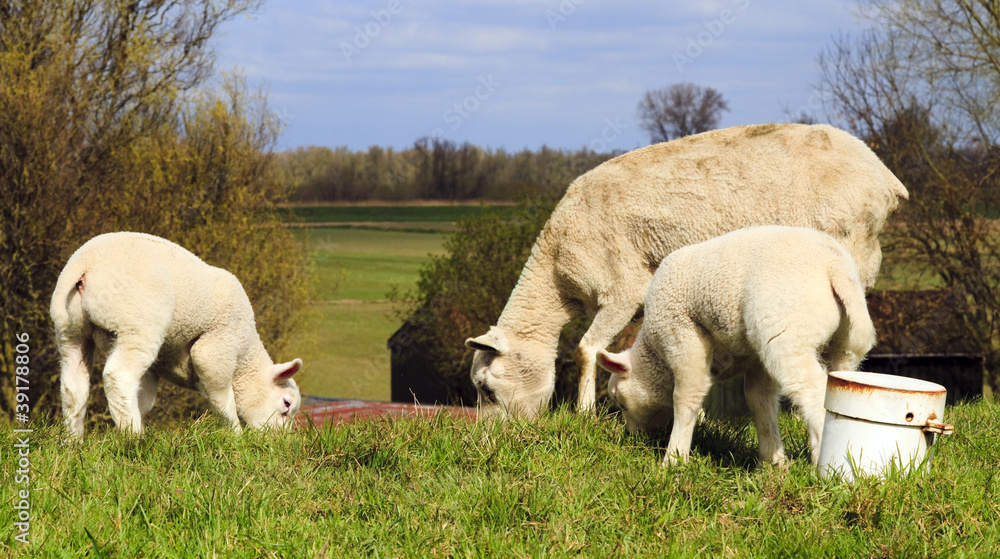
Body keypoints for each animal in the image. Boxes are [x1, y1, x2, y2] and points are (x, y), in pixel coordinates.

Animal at [50, 232, 302, 439]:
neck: (246, 354)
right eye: (286, 404)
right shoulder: (216, 350)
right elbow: (224, 401)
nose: (280, 442)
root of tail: (84, 263)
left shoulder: (154, 369)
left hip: (72, 332)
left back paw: (74, 442)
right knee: (118, 377)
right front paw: (236, 436)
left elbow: (145, 400)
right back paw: (134, 438)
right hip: (139, 323)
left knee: (73, 386)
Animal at [465, 123, 906, 420]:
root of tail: (885, 176)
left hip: (848, 249)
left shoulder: (622, 287)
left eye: (487, 389)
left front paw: (584, 414)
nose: (495, 438)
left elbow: (586, 350)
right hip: (865, 261)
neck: (557, 274)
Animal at [596, 225, 877, 466]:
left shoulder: (682, 334)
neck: (655, 351)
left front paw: (674, 460)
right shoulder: (754, 357)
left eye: (620, 401)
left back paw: (821, 461)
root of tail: (834, 266)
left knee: (814, 392)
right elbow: (759, 400)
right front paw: (774, 462)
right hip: (842, 342)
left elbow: (687, 396)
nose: (632, 437)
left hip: (787, 334)